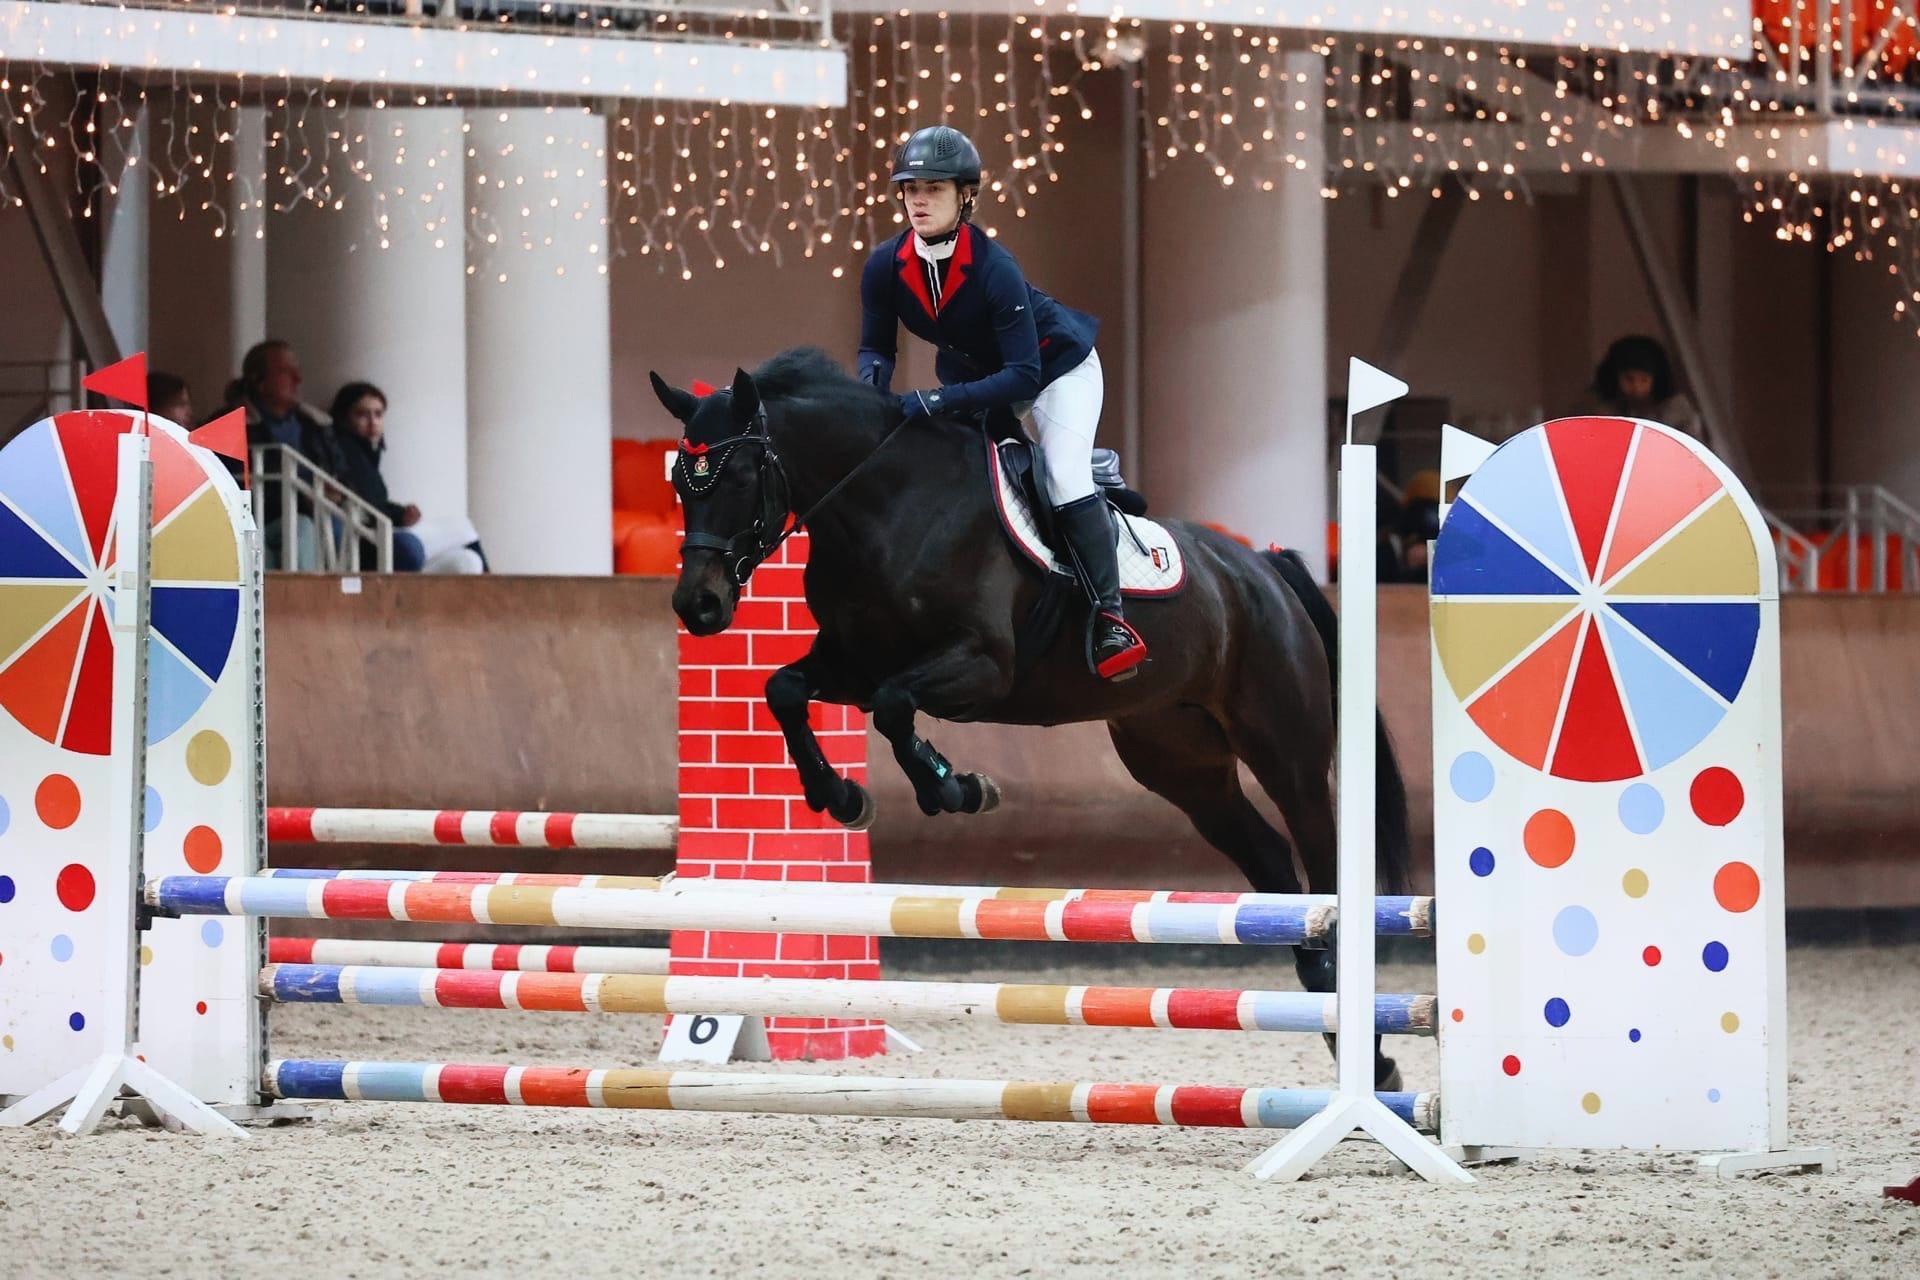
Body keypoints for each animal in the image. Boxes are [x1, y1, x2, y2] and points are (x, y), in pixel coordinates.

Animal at [651, 348, 1413, 1087]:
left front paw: (956, 789)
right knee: (1272, 863)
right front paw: (841, 796)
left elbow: (897, 709)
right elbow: (785, 690)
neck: (884, 507)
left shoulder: (982, 666)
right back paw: (1338, 1018)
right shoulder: (851, 666)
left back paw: (1365, 1044)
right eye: (680, 485)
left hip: (1286, 751)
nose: (698, 606)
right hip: (1185, 768)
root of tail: (1260, 564)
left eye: (739, 475)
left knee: (1320, 854)